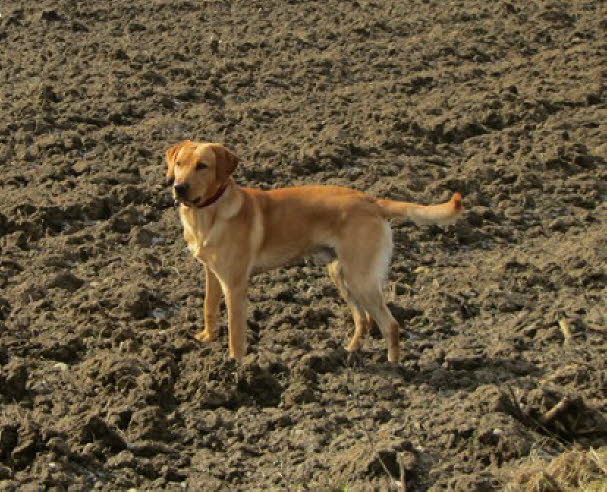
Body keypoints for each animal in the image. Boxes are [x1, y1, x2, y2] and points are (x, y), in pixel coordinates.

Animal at [164, 139, 464, 362]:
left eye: (202, 166)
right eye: (179, 164)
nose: (179, 188)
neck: (207, 213)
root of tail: (372, 200)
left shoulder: (235, 284)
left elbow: (236, 330)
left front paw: (236, 364)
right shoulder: (212, 273)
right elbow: (208, 307)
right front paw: (206, 338)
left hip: (361, 277)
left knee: (389, 324)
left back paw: (394, 367)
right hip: (341, 275)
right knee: (363, 318)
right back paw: (350, 351)